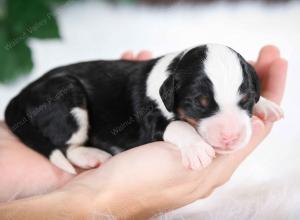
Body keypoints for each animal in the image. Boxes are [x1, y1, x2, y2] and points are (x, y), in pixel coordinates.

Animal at [4, 43, 284, 174]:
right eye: (198, 103)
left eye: (246, 99)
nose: (230, 138)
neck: (173, 69)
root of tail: (22, 92)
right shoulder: (152, 122)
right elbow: (178, 125)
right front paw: (197, 149)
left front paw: (267, 106)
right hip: (67, 97)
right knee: (67, 146)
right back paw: (92, 155)